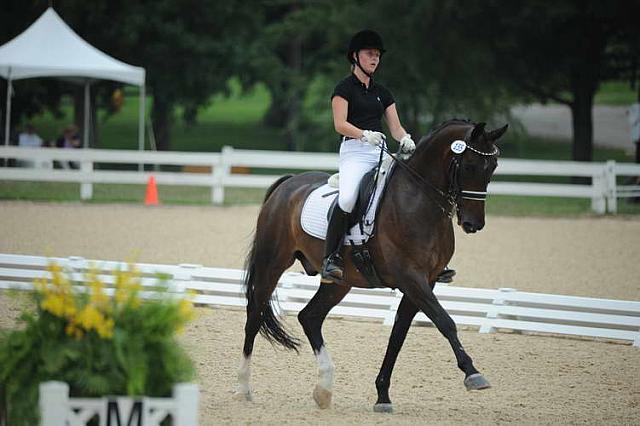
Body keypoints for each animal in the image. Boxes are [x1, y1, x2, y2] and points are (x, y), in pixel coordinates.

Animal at [238, 118, 508, 412]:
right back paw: (244, 388)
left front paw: (382, 395)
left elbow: (398, 336)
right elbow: (445, 322)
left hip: (339, 282)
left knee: (309, 317)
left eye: (493, 167)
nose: (473, 223)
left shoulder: (424, 282)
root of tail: (288, 183)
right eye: (469, 165)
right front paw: (473, 373)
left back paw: (324, 390)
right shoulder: (412, 278)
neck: (419, 200)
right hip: (272, 264)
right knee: (254, 316)